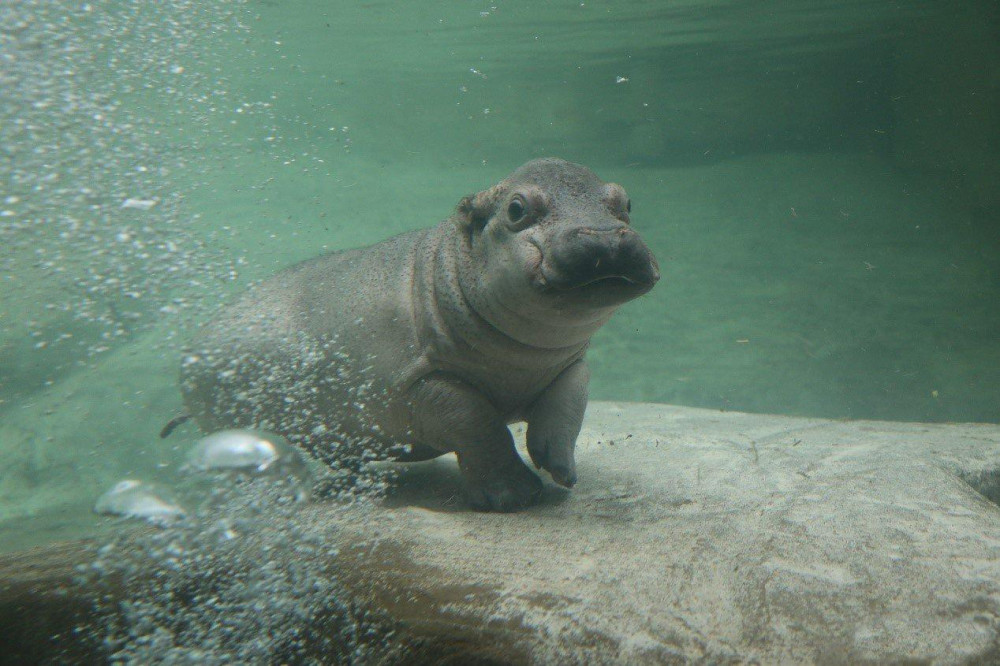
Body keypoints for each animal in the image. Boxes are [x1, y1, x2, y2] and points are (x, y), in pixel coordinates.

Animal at [181, 158, 660, 510]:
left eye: (625, 201)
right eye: (517, 209)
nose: (604, 238)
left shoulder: (569, 362)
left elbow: (569, 404)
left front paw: (561, 471)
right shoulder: (420, 382)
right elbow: (478, 422)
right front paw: (514, 497)